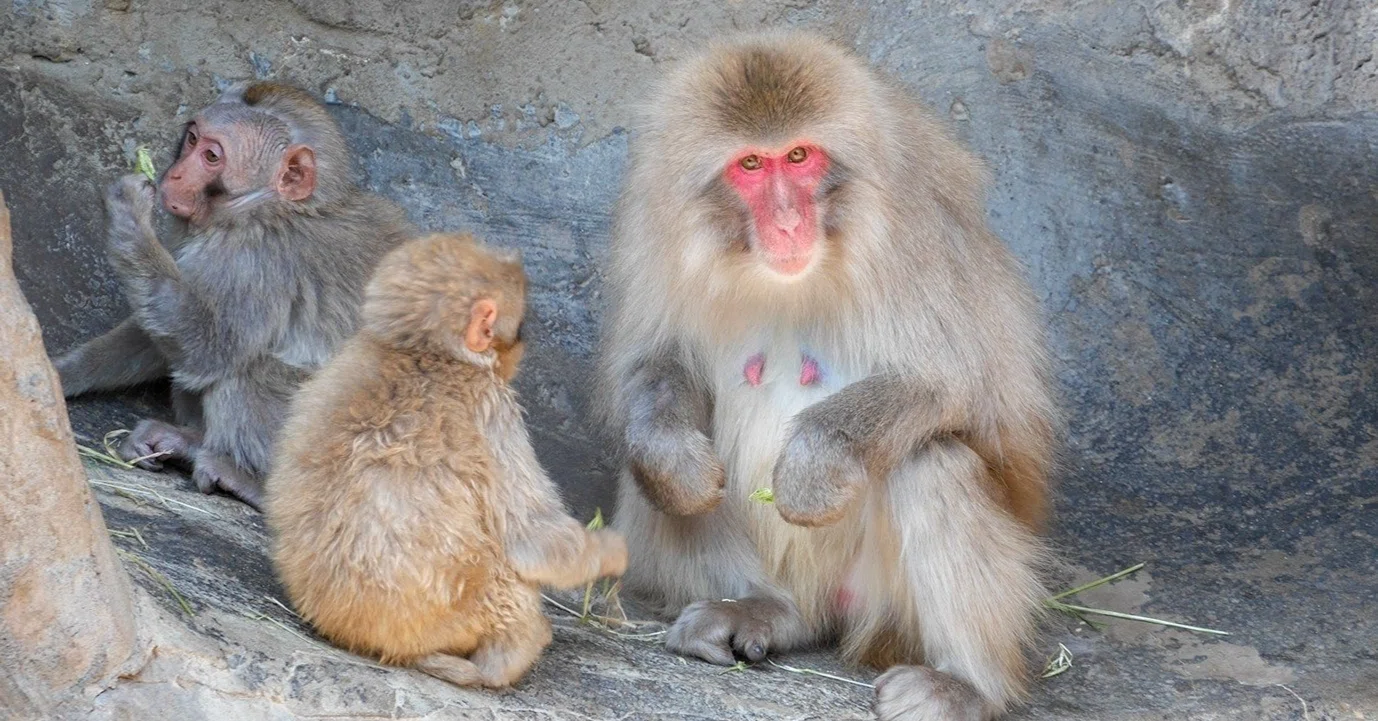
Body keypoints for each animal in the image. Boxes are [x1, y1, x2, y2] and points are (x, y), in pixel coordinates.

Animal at [52, 82, 413, 510]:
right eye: (192, 139)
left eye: (212, 156)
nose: (174, 174)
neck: (268, 206)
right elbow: (155, 340)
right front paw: (56, 375)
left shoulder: (258, 262)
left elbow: (209, 347)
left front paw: (129, 212)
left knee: (248, 370)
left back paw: (249, 481)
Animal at [266, 232, 628, 688]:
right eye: (519, 326)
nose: (523, 345)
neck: (423, 354)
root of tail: (376, 640)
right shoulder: (493, 409)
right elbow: (529, 538)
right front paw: (611, 551)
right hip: (464, 613)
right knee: (506, 568)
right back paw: (511, 655)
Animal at [596, 32, 1057, 721]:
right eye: (751, 165)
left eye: (799, 155)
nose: (788, 222)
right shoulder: (658, 234)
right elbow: (655, 361)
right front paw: (675, 460)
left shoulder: (919, 239)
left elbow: (957, 383)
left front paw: (814, 466)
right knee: (655, 472)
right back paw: (762, 608)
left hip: (888, 610)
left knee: (930, 461)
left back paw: (968, 684)